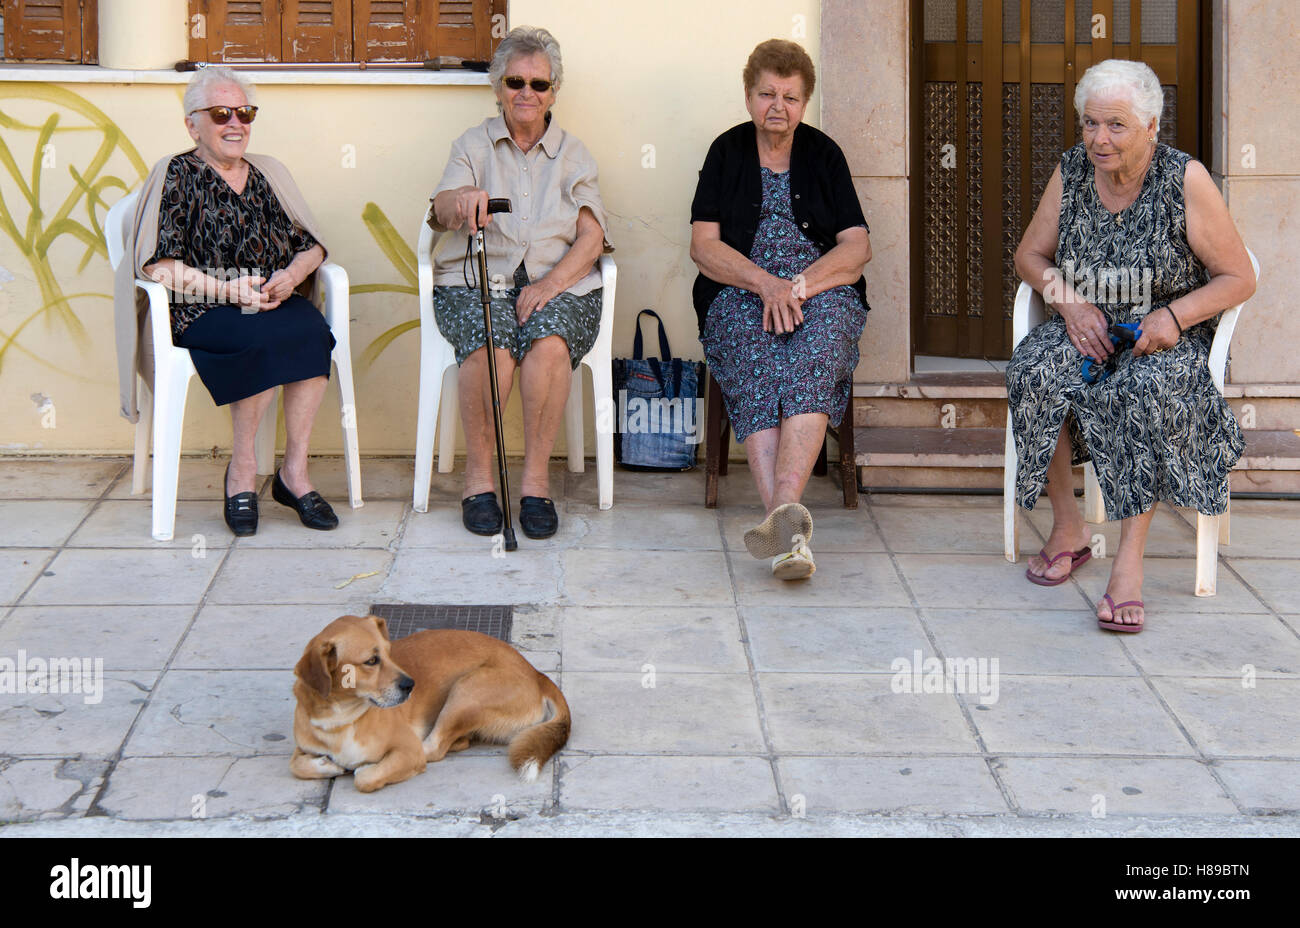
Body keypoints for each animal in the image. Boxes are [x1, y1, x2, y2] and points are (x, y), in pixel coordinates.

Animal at [292, 613, 566, 790]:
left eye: (390, 653)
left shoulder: (405, 750)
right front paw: (326, 765)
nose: (410, 685)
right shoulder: (302, 747)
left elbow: (365, 779)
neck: (341, 718)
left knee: (434, 748)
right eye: (371, 661)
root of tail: (537, 674)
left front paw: (359, 768)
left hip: (465, 691)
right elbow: (296, 765)